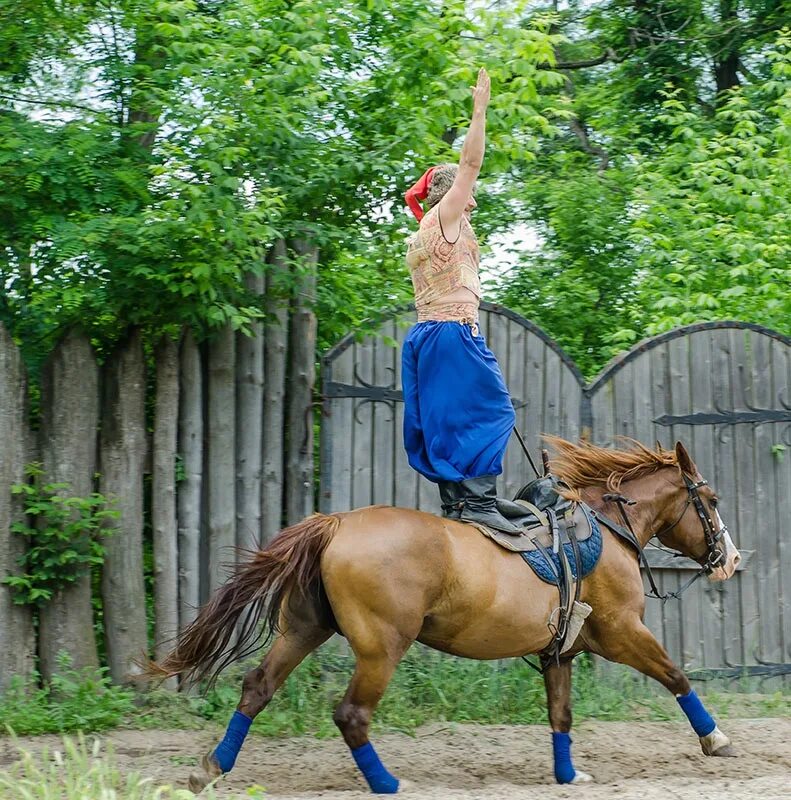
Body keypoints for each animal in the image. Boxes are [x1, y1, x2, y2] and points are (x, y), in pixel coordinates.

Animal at [147, 438, 744, 792]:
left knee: (257, 687)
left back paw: (212, 768)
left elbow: (561, 715)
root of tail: (335, 524)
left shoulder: (561, 652)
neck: (605, 528)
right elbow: (675, 675)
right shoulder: (621, 633)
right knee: (351, 715)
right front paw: (716, 740)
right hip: (381, 647)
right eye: (711, 499)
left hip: (304, 629)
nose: (731, 559)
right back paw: (389, 785)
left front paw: (568, 774)